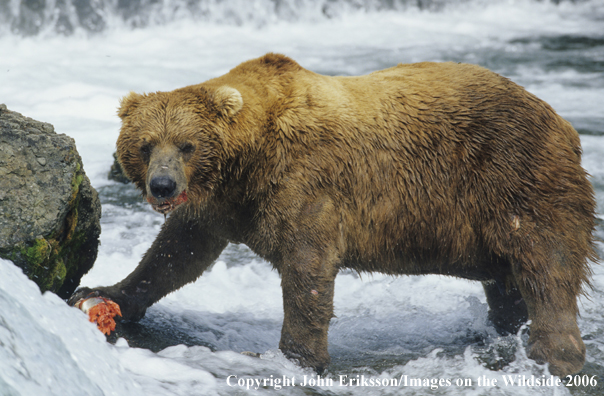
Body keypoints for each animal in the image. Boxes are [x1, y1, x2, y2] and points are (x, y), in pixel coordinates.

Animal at [69, 53, 596, 378]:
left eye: (186, 145)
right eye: (144, 145)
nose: (163, 185)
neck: (249, 160)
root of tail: (564, 123)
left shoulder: (307, 184)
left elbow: (309, 270)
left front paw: (295, 356)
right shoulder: (222, 204)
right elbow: (176, 254)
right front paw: (103, 291)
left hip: (517, 181)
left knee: (546, 268)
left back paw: (553, 354)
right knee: (507, 284)